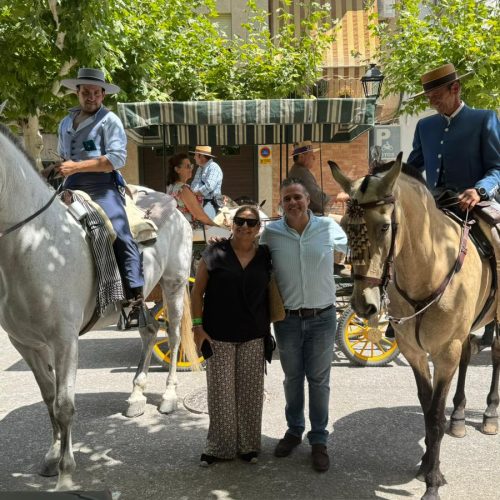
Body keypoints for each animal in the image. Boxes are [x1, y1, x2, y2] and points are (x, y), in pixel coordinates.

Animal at [0, 125, 198, 488]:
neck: (33, 244)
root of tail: (175, 207)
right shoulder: (25, 343)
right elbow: (49, 399)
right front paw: (52, 456)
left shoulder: (65, 341)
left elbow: (64, 404)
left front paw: (66, 473)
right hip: (142, 298)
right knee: (150, 332)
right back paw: (135, 397)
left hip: (174, 284)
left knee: (175, 337)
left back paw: (168, 398)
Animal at [330, 154, 498, 498]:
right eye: (344, 227)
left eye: (384, 226)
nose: (363, 305)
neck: (430, 268)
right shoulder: (415, 352)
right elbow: (427, 405)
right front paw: (427, 464)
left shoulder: (444, 353)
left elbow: (434, 415)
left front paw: (432, 480)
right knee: (468, 356)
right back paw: (459, 416)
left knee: (498, 355)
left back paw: (489, 414)